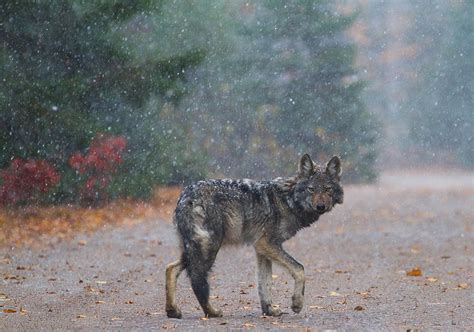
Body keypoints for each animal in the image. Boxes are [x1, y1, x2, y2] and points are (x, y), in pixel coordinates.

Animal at [165, 154, 342, 318]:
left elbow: (265, 284)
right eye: (311, 189)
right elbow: (299, 269)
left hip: (195, 249)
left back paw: (172, 311)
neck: (288, 200)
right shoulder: (266, 244)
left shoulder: (261, 248)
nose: (320, 206)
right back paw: (212, 312)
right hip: (209, 248)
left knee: (170, 268)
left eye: (327, 189)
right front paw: (296, 304)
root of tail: (184, 196)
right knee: (197, 280)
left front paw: (269, 310)